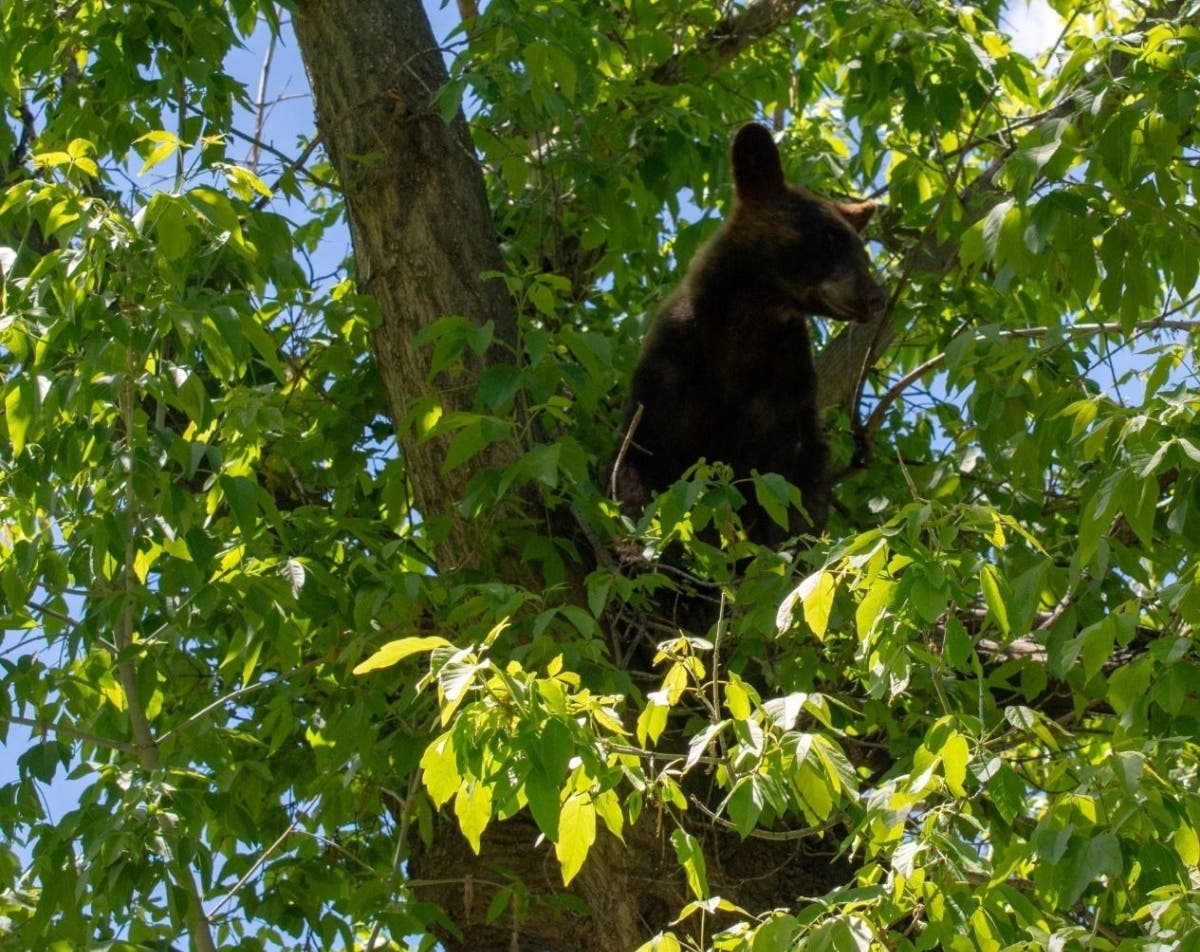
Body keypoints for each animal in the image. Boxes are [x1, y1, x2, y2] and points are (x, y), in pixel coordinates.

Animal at [613, 122, 887, 547]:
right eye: (828, 238)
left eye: (861, 250)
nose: (875, 297)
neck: (750, 321)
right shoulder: (669, 369)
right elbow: (641, 458)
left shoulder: (785, 389)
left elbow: (794, 486)